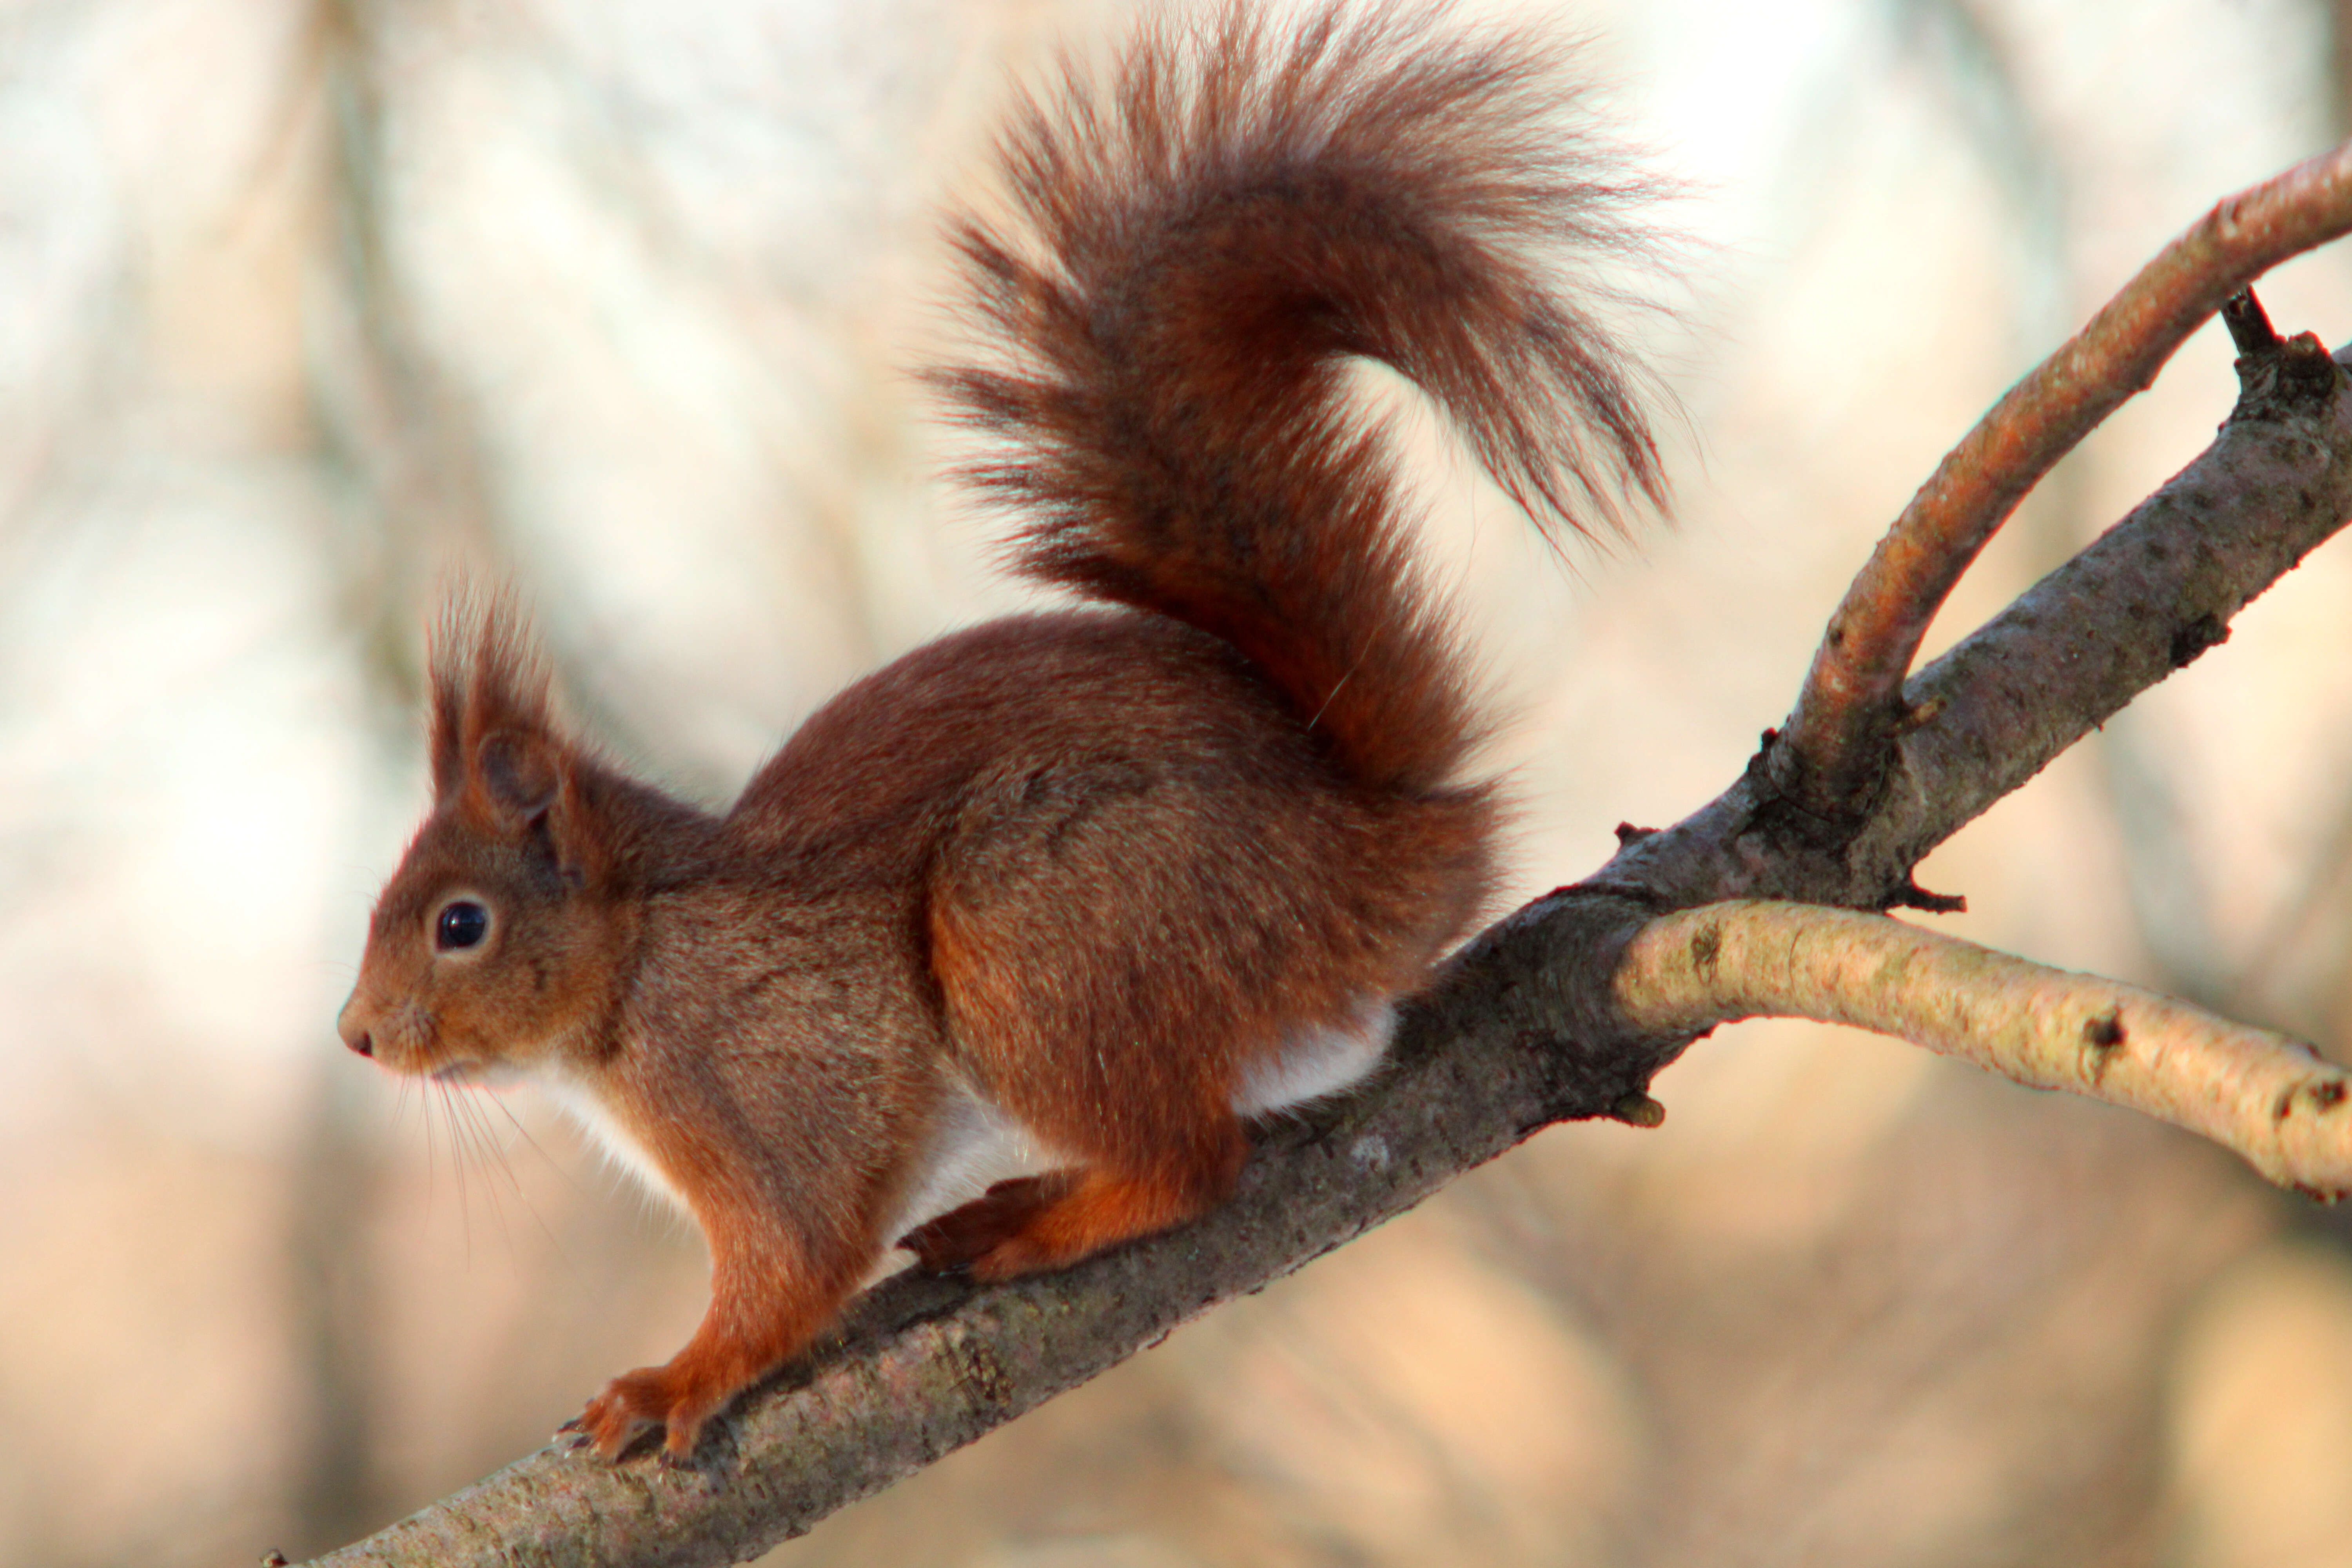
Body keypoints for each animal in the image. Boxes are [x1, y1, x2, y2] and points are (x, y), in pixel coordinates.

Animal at [336, 3, 1675, 1476]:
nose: (356, 1038)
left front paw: (675, 1378)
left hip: (1042, 924)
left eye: (460, 923)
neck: (636, 965)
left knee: (1190, 1164)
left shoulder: (772, 1081)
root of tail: (1395, 841)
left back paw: (1035, 1225)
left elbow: (792, 1259)